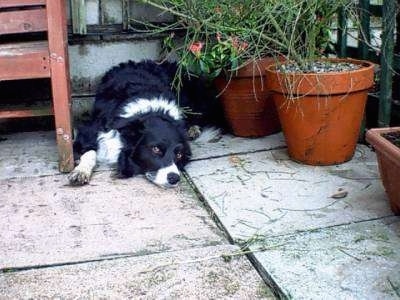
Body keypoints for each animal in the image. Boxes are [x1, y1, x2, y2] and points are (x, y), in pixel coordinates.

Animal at [69, 59, 225, 188]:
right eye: (155, 149)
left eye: (179, 154)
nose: (174, 178)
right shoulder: (88, 131)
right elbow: (89, 151)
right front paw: (81, 171)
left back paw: (193, 129)